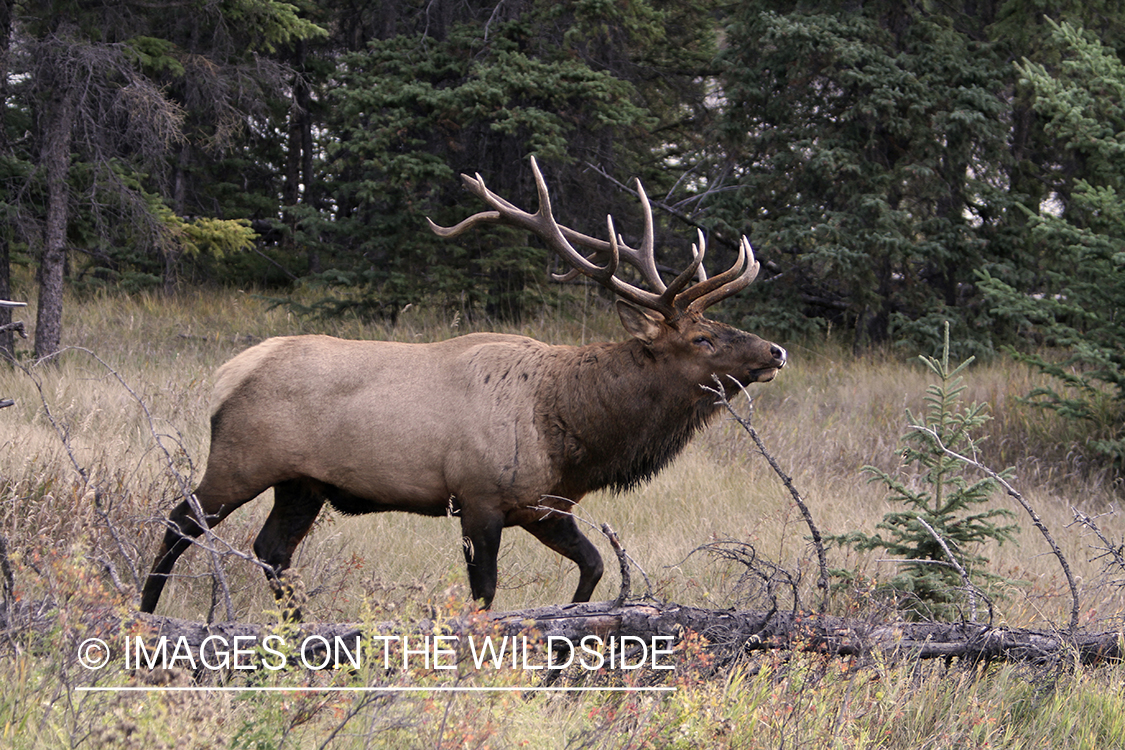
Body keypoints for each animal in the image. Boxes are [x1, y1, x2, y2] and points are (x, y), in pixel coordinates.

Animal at [140, 157, 787, 616]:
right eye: (701, 338)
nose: (775, 351)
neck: (571, 429)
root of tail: (228, 374)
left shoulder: (543, 504)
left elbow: (595, 566)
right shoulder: (478, 496)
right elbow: (485, 593)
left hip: (303, 483)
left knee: (271, 551)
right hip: (241, 459)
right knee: (179, 521)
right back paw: (144, 614)